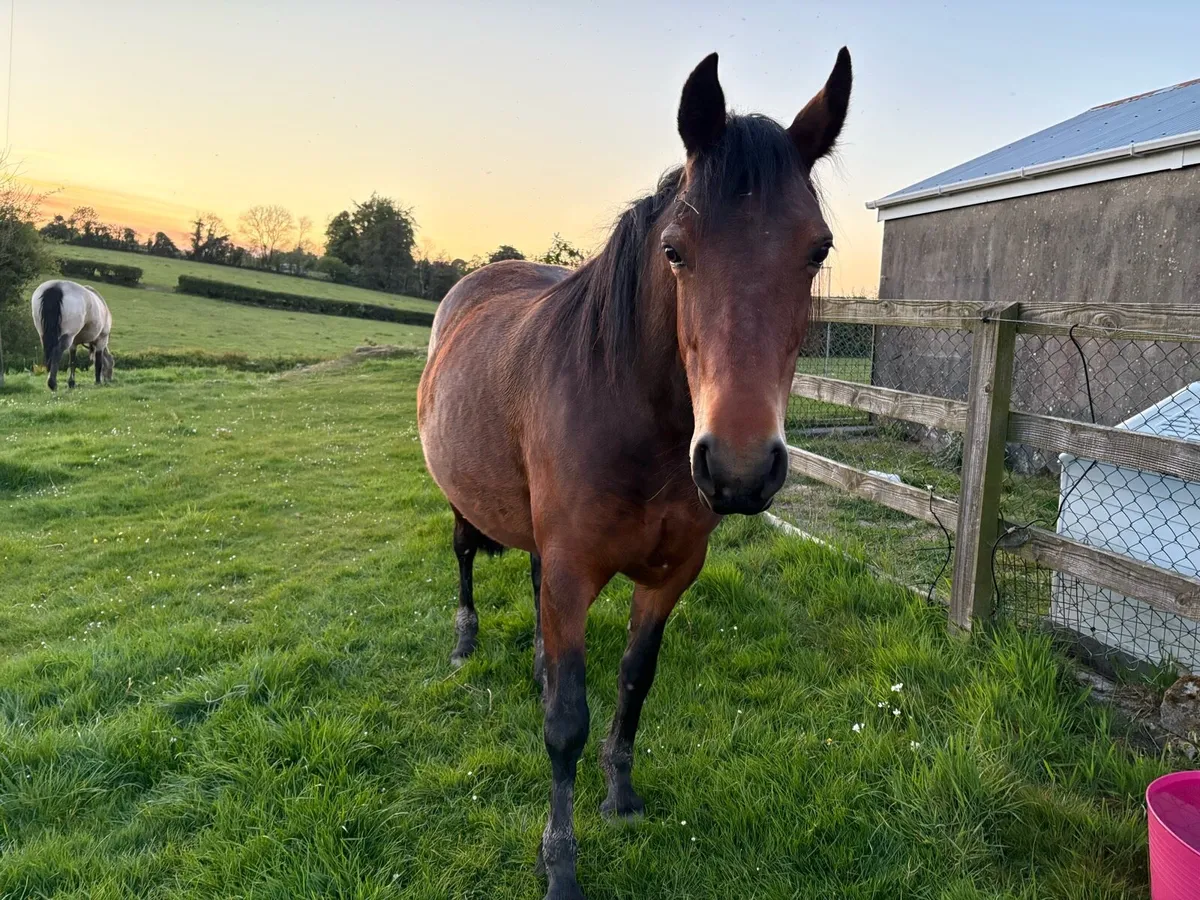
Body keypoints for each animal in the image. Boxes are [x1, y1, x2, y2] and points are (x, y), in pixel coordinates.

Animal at [419, 49, 852, 899]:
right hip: (460, 499)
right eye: (676, 250)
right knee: (463, 558)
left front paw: (619, 794)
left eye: (816, 248)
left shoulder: (670, 573)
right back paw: (463, 642)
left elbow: (632, 682)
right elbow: (567, 724)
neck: (633, 419)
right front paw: (560, 863)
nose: (739, 467)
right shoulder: (573, 573)